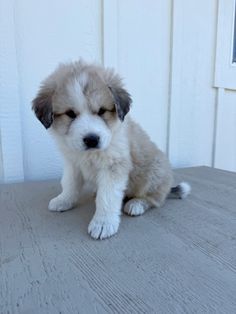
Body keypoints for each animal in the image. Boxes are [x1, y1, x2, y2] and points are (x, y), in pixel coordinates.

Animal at [31, 59, 190, 240]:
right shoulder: (73, 164)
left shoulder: (113, 166)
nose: (91, 139)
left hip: (154, 172)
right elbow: (70, 184)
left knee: (155, 199)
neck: (90, 155)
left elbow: (107, 197)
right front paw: (64, 200)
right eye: (70, 114)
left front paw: (103, 223)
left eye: (102, 111)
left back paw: (137, 204)